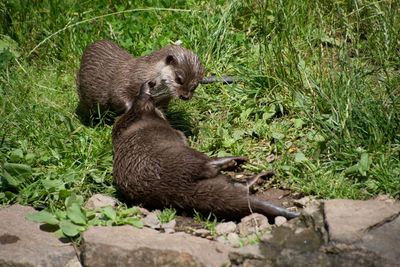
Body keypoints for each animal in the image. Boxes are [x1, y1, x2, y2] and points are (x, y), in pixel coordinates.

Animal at [76, 39, 205, 125]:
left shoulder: (163, 100)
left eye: (195, 85)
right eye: (179, 79)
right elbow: (118, 96)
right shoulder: (124, 81)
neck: (145, 73)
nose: (185, 96)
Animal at [111, 80, 298, 221]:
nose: (150, 82)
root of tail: (178, 189)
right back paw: (236, 161)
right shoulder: (173, 131)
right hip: (187, 157)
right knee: (210, 166)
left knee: (236, 186)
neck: (138, 121)